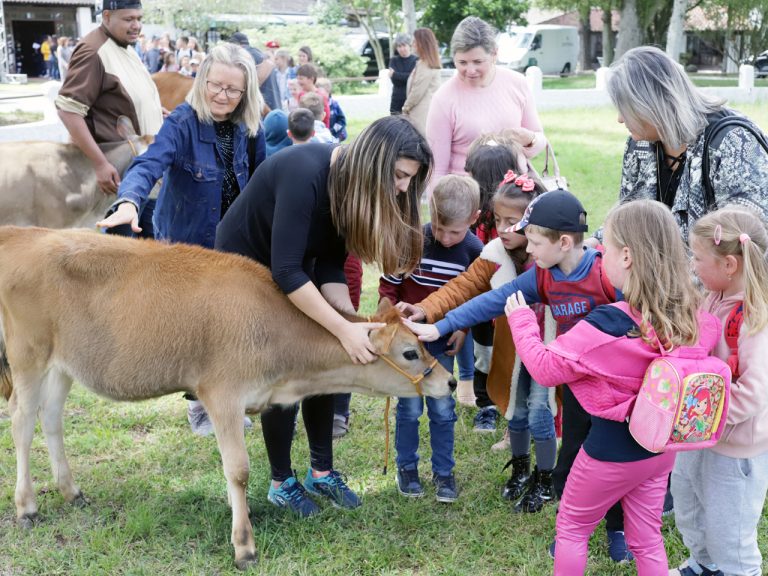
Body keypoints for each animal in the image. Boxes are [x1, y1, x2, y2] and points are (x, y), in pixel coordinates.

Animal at [0, 225, 456, 568]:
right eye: (410, 352)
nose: (449, 382)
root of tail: (24, 233)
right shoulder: (221, 394)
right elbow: (237, 470)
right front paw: (244, 546)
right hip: (28, 354)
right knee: (21, 420)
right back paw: (27, 507)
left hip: (64, 363)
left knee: (50, 418)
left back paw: (71, 491)